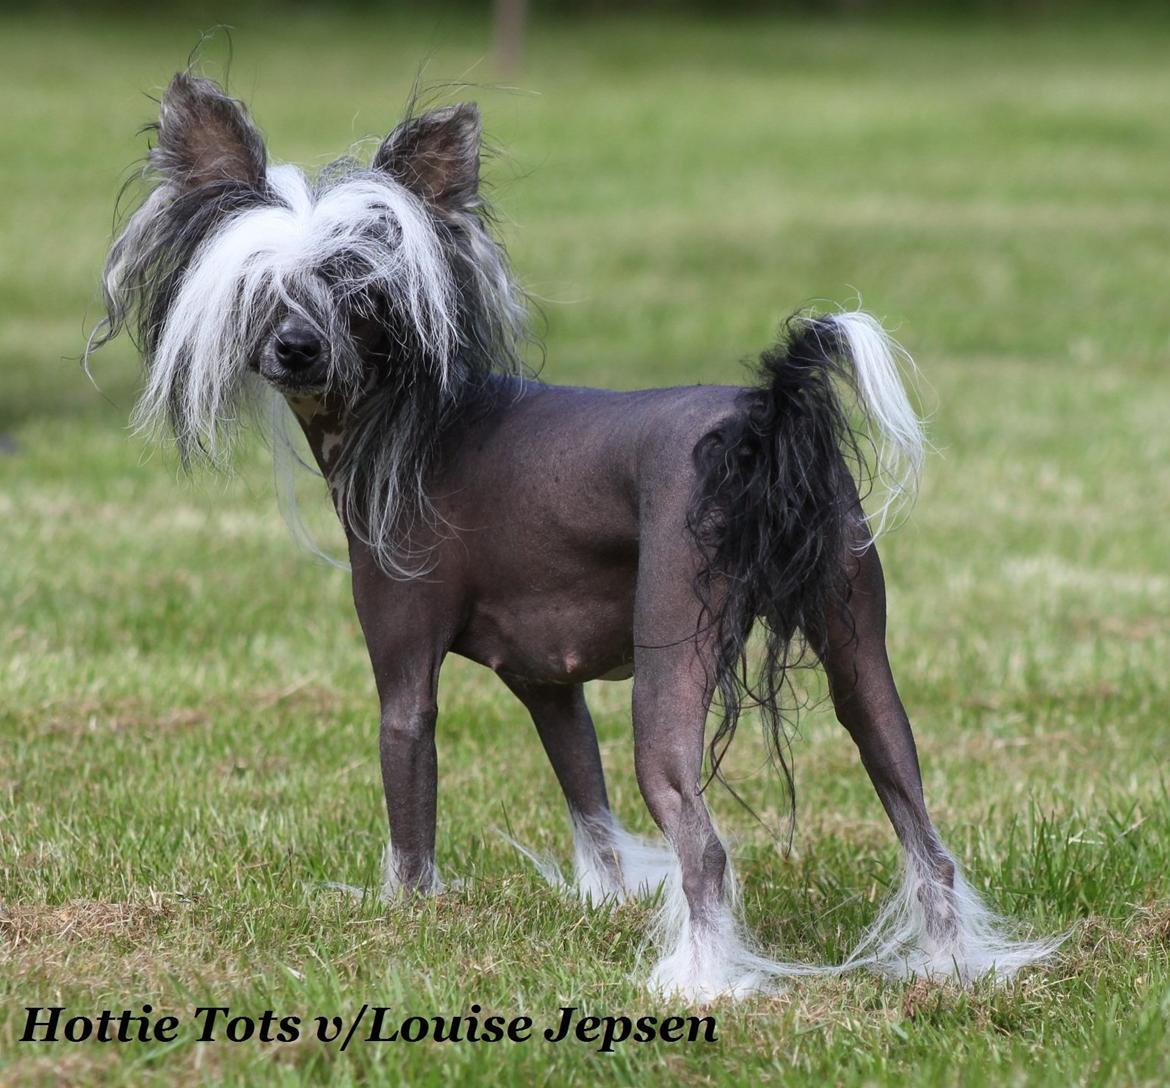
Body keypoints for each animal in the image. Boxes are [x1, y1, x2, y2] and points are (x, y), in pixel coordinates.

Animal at [88, 71, 1062, 996]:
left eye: (357, 292)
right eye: (259, 290)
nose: (296, 348)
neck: (408, 418)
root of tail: (759, 422)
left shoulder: (404, 677)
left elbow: (411, 813)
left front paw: (407, 921)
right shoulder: (549, 687)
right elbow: (589, 806)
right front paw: (607, 902)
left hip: (672, 668)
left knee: (705, 845)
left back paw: (701, 983)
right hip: (860, 656)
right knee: (924, 834)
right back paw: (951, 968)